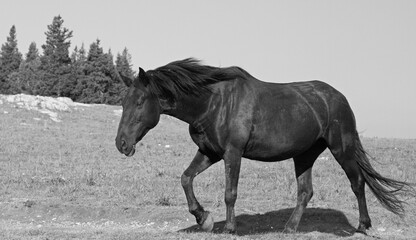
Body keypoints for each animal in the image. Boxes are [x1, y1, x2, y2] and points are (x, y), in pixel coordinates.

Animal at [115, 58, 412, 234]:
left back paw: (363, 225)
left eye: (139, 102)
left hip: (342, 148)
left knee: (357, 182)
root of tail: (339, 97)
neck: (213, 103)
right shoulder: (209, 152)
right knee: (305, 192)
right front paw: (203, 218)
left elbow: (230, 192)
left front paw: (229, 228)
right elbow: (186, 178)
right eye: (124, 101)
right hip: (305, 155)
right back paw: (289, 229)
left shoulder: (232, 153)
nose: (121, 144)